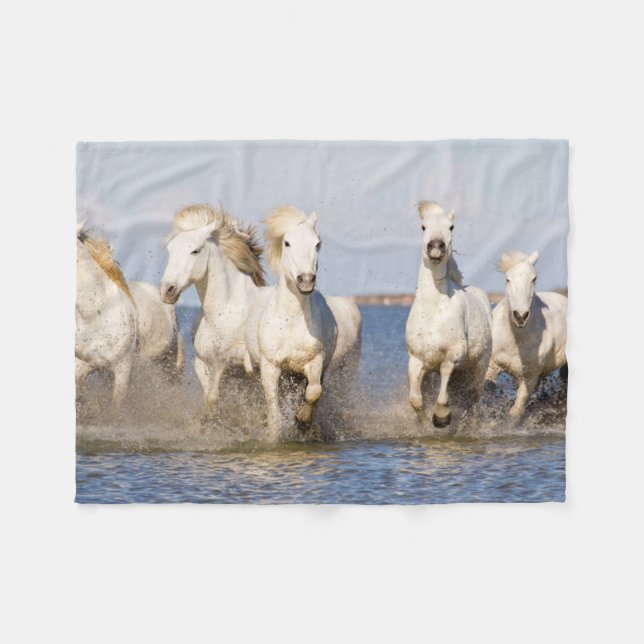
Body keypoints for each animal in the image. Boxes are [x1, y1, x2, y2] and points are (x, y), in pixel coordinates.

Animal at [159, 204, 265, 418]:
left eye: (195, 251)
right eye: (170, 250)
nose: (166, 291)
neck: (224, 312)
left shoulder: (235, 361)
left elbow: (215, 393)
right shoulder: (202, 363)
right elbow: (210, 397)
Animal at [244, 206, 362, 440]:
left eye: (317, 243)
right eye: (287, 243)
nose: (306, 280)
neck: (290, 322)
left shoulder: (314, 362)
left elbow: (314, 392)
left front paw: (301, 419)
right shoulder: (271, 366)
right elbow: (273, 407)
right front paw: (274, 433)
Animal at [405, 201, 492, 428]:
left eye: (451, 227)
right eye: (423, 227)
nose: (436, 246)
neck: (433, 311)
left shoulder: (453, 356)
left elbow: (443, 395)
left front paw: (442, 417)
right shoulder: (417, 359)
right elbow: (416, 399)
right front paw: (424, 422)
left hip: (478, 368)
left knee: (472, 401)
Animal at [485, 250, 568, 419]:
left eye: (534, 278)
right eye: (507, 279)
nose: (520, 316)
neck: (515, 339)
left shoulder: (529, 378)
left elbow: (514, 413)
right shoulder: (492, 366)